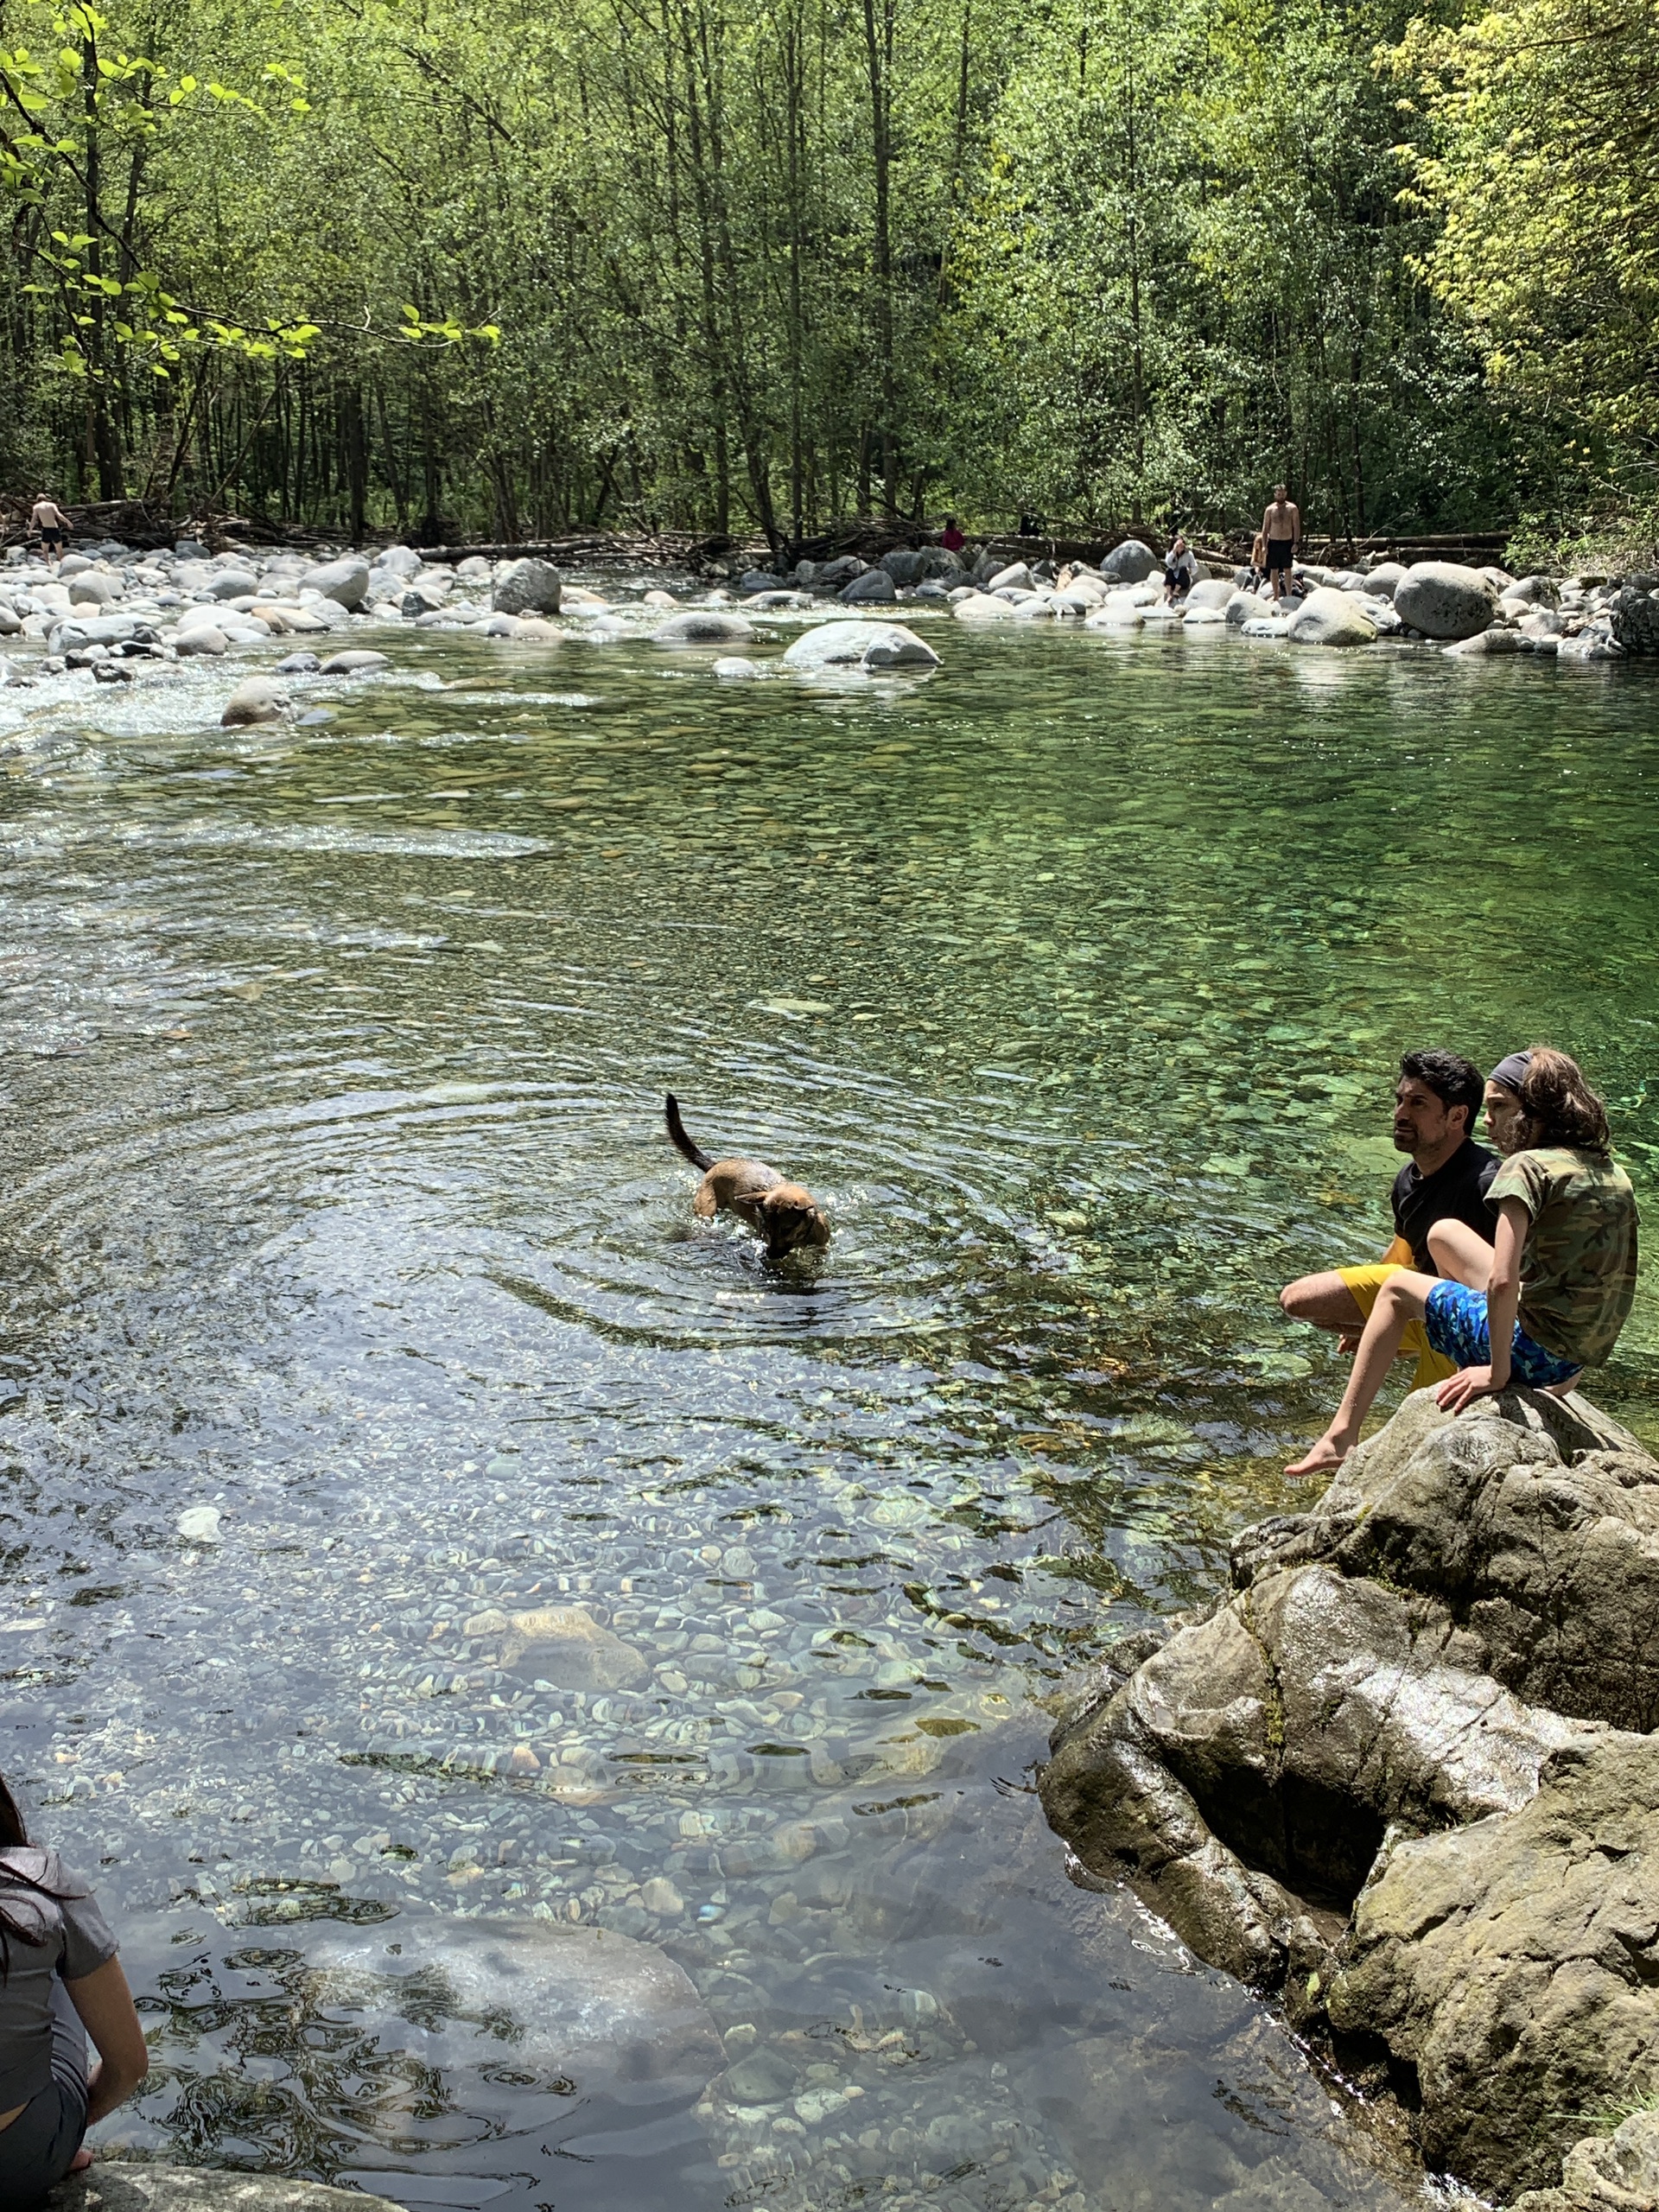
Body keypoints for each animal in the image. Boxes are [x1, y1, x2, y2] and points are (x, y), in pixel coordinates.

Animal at [664, 1092, 831, 1256]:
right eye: (767, 1230)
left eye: (786, 1230)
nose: (770, 1255)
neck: (803, 1237)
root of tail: (715, 1165)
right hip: (706, 1208)